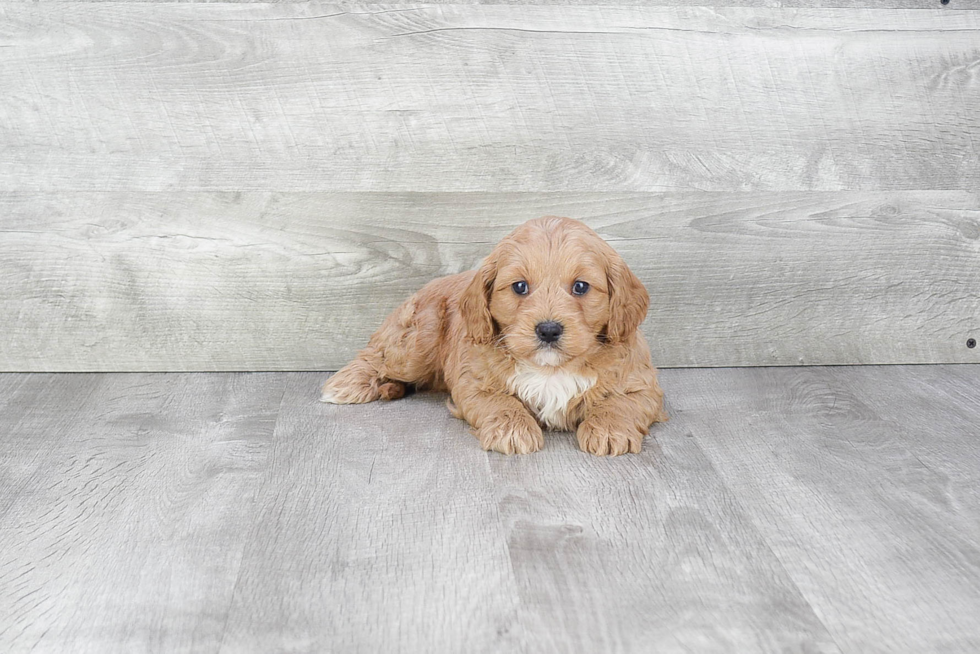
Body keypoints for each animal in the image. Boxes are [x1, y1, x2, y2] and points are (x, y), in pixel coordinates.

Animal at [322, 215, 668, 456]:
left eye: (581, 287)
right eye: (520, 287)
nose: (548, 329)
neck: (551, 368)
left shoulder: (643, 385)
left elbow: (620, 403)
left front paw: (609, 431)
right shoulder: (473, 381)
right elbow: (501, 401)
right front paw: (513, 431)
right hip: (416, 343)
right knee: (375, 355)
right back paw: (347, 385)